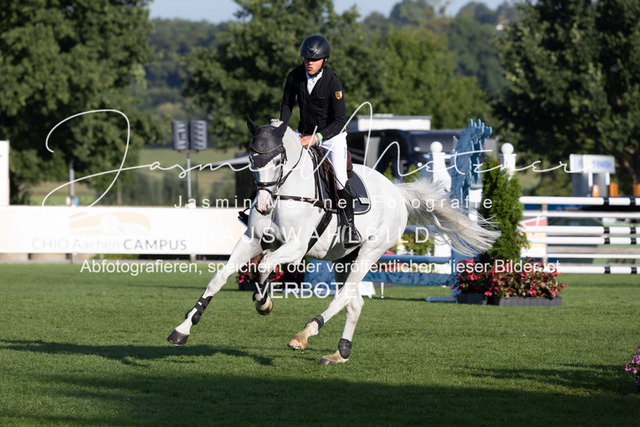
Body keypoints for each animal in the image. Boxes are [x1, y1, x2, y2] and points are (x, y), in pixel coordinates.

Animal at [167, 118, 499, 365]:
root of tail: (397, 191)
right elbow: (218, 278)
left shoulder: (295, 249)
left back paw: (303, 335)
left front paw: (264, 303)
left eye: (278, 160)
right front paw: (182, 330)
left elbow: (264, 267)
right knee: (355, 302)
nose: (262, 205)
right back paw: (339, 353)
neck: (285, 191)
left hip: (369, 252)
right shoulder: (252, 241)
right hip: (344, 259)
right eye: (251, 159)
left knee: (342, 298)